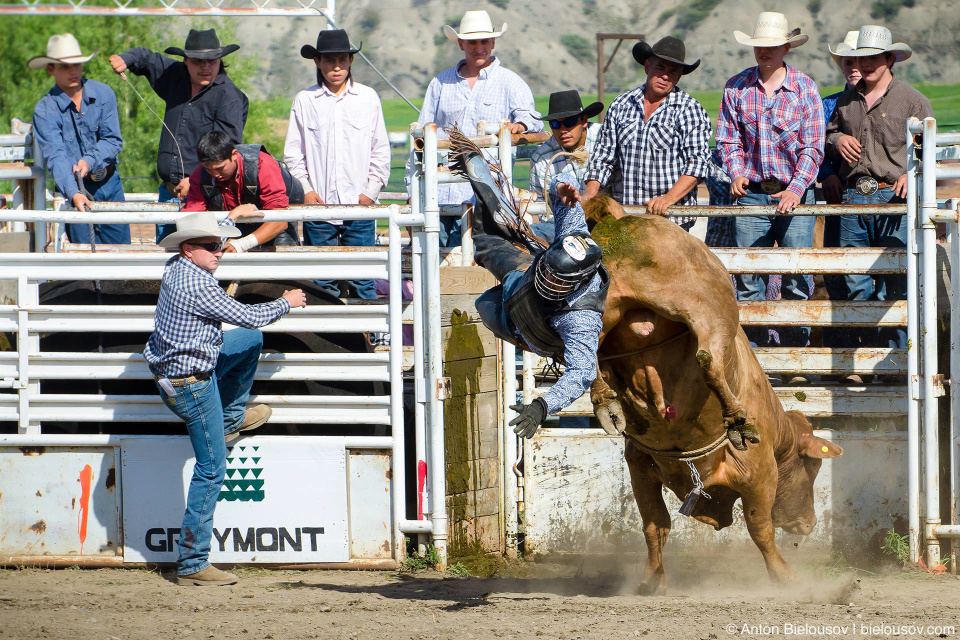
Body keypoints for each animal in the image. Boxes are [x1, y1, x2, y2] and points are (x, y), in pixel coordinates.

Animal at [584, 198, 840, 592]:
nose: (809, 523)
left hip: (598, 310)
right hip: (707, 307)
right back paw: (737, 418)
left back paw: (605, 401)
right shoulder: (759, 474)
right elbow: (760, 528)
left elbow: (655, 526)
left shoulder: (639, 465)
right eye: (813, 467)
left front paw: (651, 579)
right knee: (708, 358)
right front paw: (785, 577)